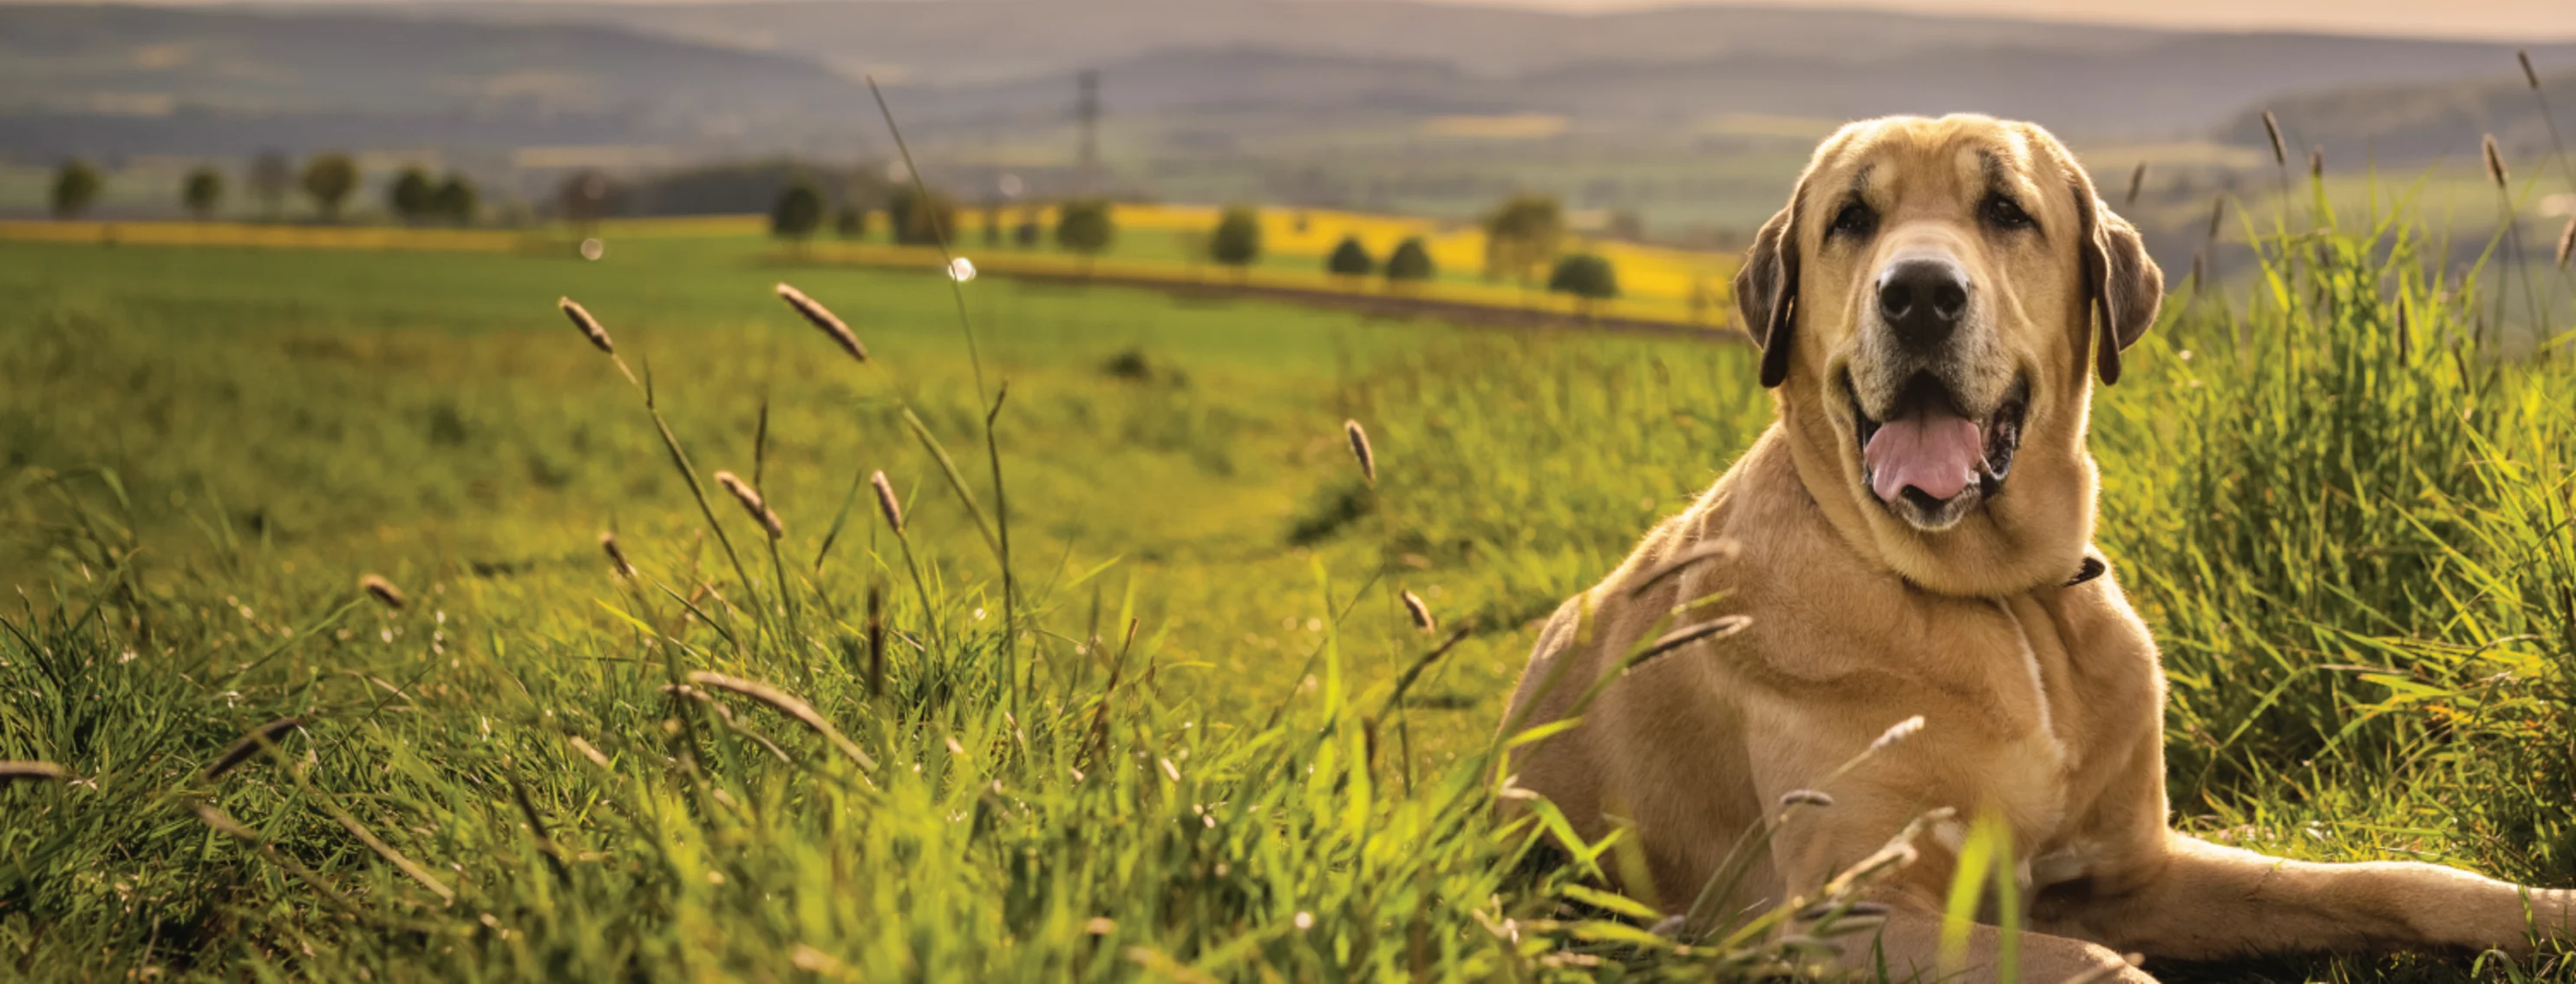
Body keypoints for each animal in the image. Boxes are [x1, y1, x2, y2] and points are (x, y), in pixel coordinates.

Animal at [1504, 115, 2566, 979]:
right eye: (1852, 218)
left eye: (2006, 210)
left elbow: (2385, 880)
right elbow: (2093, 965)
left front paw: (2545, 910)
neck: (2003, 600)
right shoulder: (1852, 914)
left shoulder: (2134, 871)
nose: (1919, 292)